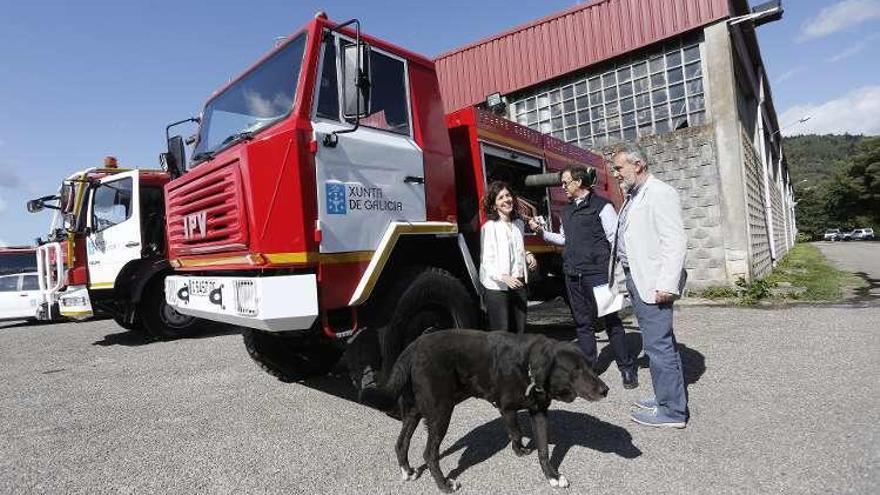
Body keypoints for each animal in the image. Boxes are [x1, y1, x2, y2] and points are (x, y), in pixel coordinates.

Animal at [360, 330, 608, 492]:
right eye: (575, 369)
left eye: (589, 365)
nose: (606, 390)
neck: (527, 364)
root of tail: (413, 347)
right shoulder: (506, 407)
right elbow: (516, 431)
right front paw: (519, 450)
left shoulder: (538, 412)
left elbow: (543, 449)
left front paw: (552, 476)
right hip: (441, 412)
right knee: (429, 453)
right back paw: (444, 485)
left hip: (415, 411)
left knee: (401, 443)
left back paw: (407, 471)